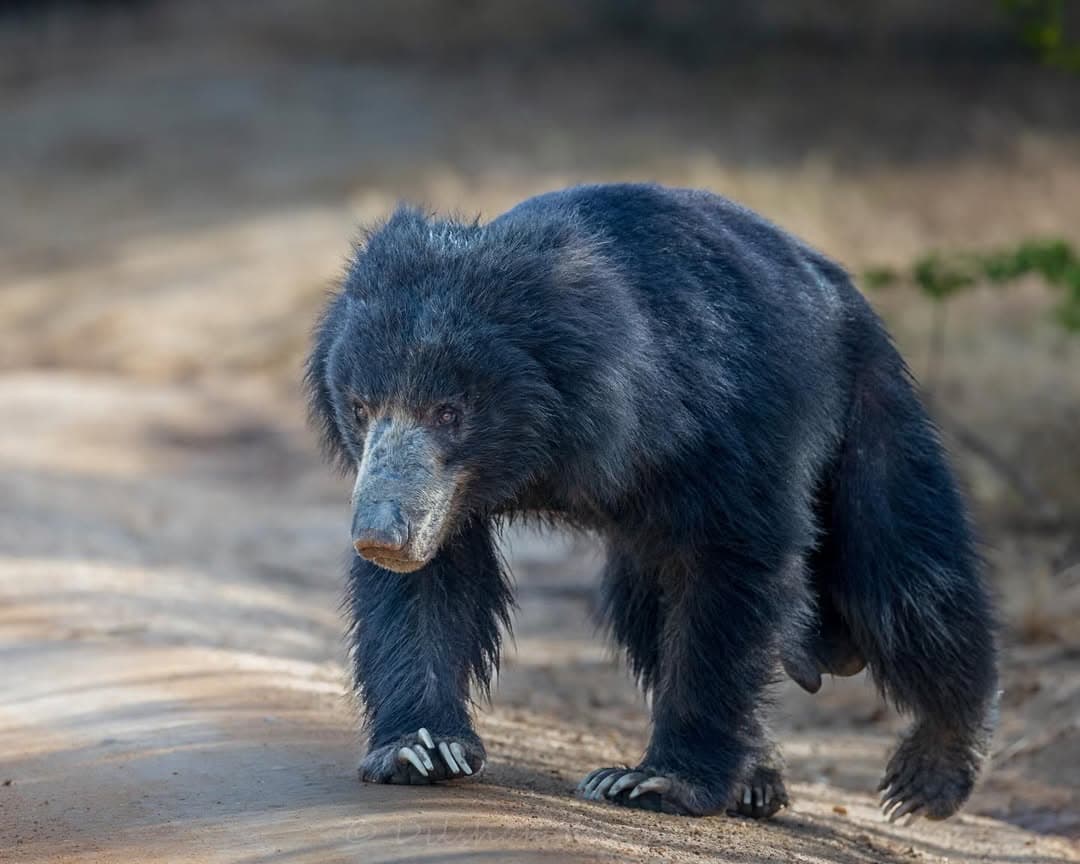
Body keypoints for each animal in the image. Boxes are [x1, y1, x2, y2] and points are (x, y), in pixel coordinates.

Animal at [305, 183, 999, 820]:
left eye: (449, 412)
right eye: (361, 408)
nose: (379, 536)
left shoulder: (725, 424)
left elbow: (730, 572)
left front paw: (658, 782)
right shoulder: (448, 496)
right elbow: (430, 585)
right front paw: (421, 749)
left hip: (865, 400)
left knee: (904, 574)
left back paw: (929, 774)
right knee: (641, 604)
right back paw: (759, 779)